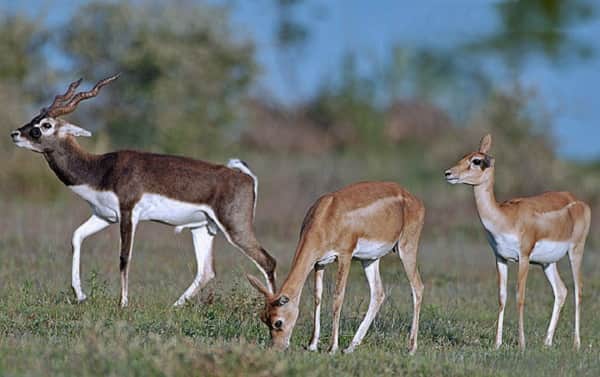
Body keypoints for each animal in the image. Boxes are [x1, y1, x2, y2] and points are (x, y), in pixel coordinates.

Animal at [9, 73, 276, 306]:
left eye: (45, 124)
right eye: (35, 118)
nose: (15, 134)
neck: (101, 169)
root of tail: (245, 177)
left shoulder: (129, 213)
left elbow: (124, 257)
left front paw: (123, 303)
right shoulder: (104, 216)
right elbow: (76, 237)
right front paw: (80, 295)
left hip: (235, 228)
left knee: (268, 261)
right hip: (202, 228)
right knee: (206, 271)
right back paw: (174, 306)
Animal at [246, 181, 424, 352]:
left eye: (278, 322)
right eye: (263, 318)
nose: (277, 347)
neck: (326, 215)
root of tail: (414, 199)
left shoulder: (345, 256)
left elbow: (338, 297)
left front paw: (332, 347)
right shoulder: (319, 263)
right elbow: (317, 296)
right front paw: (312, 345)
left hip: (406, 249)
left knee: (417, 287)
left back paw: (411, 348)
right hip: (369, 260)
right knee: (378, 293)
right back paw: (351, 347)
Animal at [446, 134, 592, 348]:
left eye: (476, 161)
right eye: (464, 156)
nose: (448, 173)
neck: (505, 217)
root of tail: (578, 201)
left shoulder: (523, 257)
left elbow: (520, 297)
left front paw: (522, 344)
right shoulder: (500, 258)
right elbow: (502, 297)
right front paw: (497, 344)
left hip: (576, 251)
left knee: (578, 290)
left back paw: (576, 344)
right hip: (547, 263)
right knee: (561, 290)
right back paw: (546, 342)